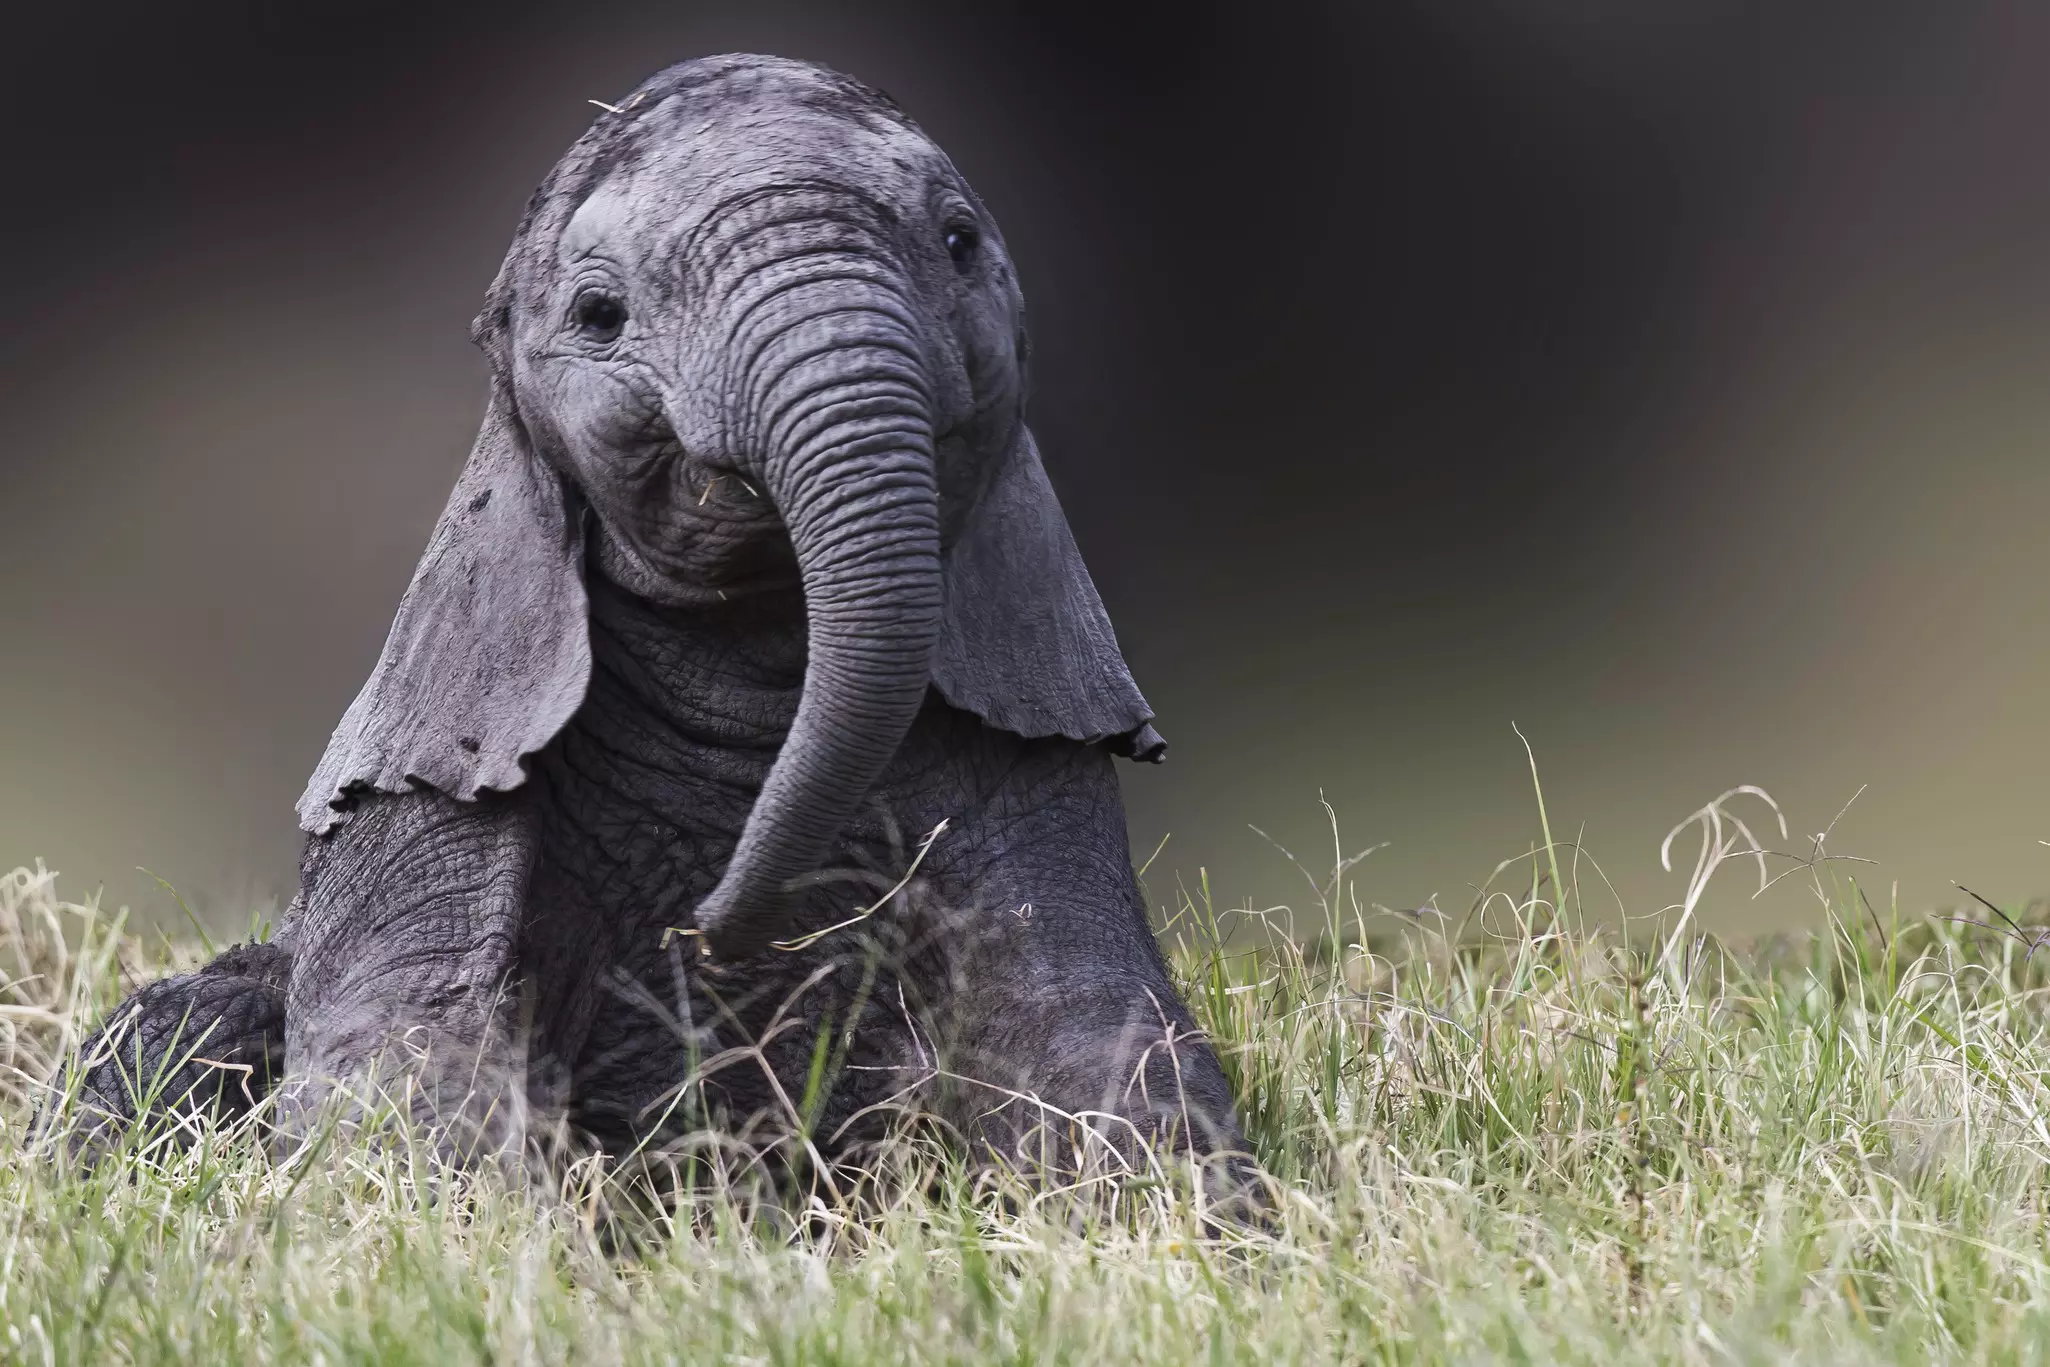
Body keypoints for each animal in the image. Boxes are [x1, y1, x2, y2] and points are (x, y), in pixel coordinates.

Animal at [48, 54, 1249, 1191]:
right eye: (598, 315)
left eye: (959, 244)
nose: (711, 926)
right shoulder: (419, 792)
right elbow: (401, 1063)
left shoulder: (1045, 762)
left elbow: (1097, 1043)